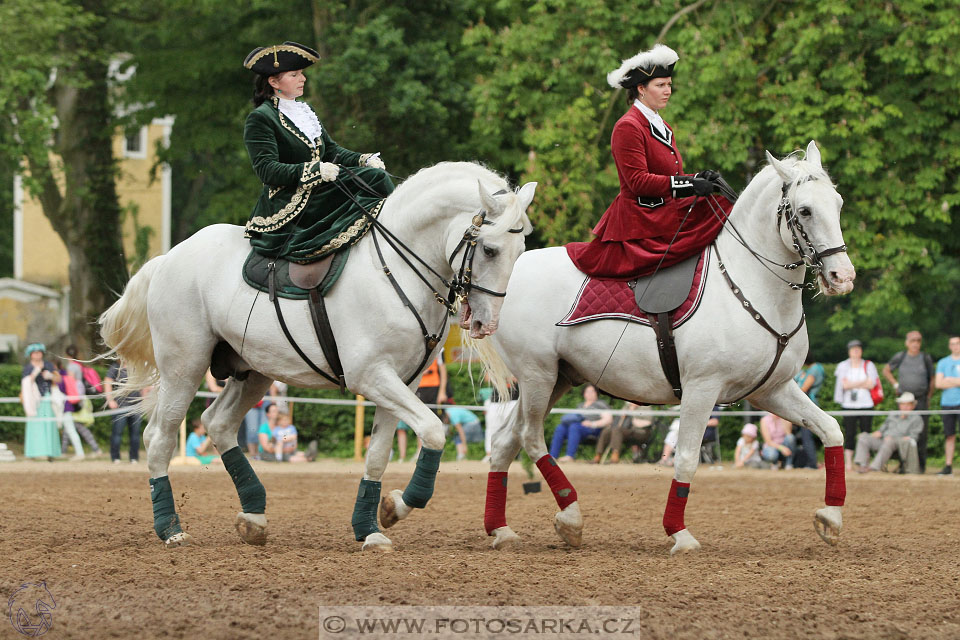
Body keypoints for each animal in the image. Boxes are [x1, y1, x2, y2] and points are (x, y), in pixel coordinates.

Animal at [104, 160, 540, 552]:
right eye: (489, 249)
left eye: (522, 249)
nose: (486, 322)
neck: (393, 271)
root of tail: (170, 257)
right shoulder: (372, 377)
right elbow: (434, 430)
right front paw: (397, 507)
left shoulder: (403, 382)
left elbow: (379, 453)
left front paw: (373, 524)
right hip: (184, 368)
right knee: (159, 437)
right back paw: (170, 528)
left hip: (254, 372)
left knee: (218, 423)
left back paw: (253, 517)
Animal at [468, 140, 860, 556]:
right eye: (805, 211)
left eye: (838, 203)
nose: (842, 276)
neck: (750, 286)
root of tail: (507, 277)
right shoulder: (702, 390)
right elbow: (686, 458)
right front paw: (679, 533)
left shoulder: (772, 391)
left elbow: (832, 430)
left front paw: (830, 518)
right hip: (537, 375)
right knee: (530, 436)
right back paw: (570, 517)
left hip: (557, 379)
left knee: (505, 441)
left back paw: (501, 529)